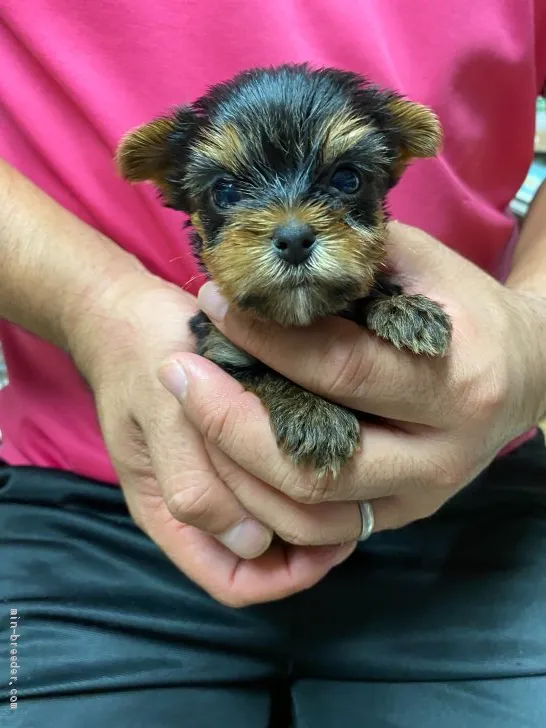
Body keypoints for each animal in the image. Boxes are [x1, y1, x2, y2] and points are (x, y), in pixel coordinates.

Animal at [116, 64, 450, 478]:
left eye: (347, 179)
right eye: (225, 191)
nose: (294, 239)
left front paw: (403, 308)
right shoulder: (220, 352)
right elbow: (262, 375)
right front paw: (314, 414)